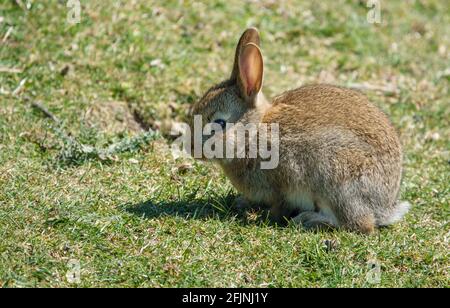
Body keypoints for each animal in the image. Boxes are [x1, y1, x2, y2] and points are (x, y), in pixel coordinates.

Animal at [188, 28, 410, 233]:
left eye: (219, 123)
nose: (191, 149)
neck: (253, 134)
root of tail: (384, 207)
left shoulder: (284, 179)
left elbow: (280, 204)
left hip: (338, 178)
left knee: (358, 224)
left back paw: (307, 220)